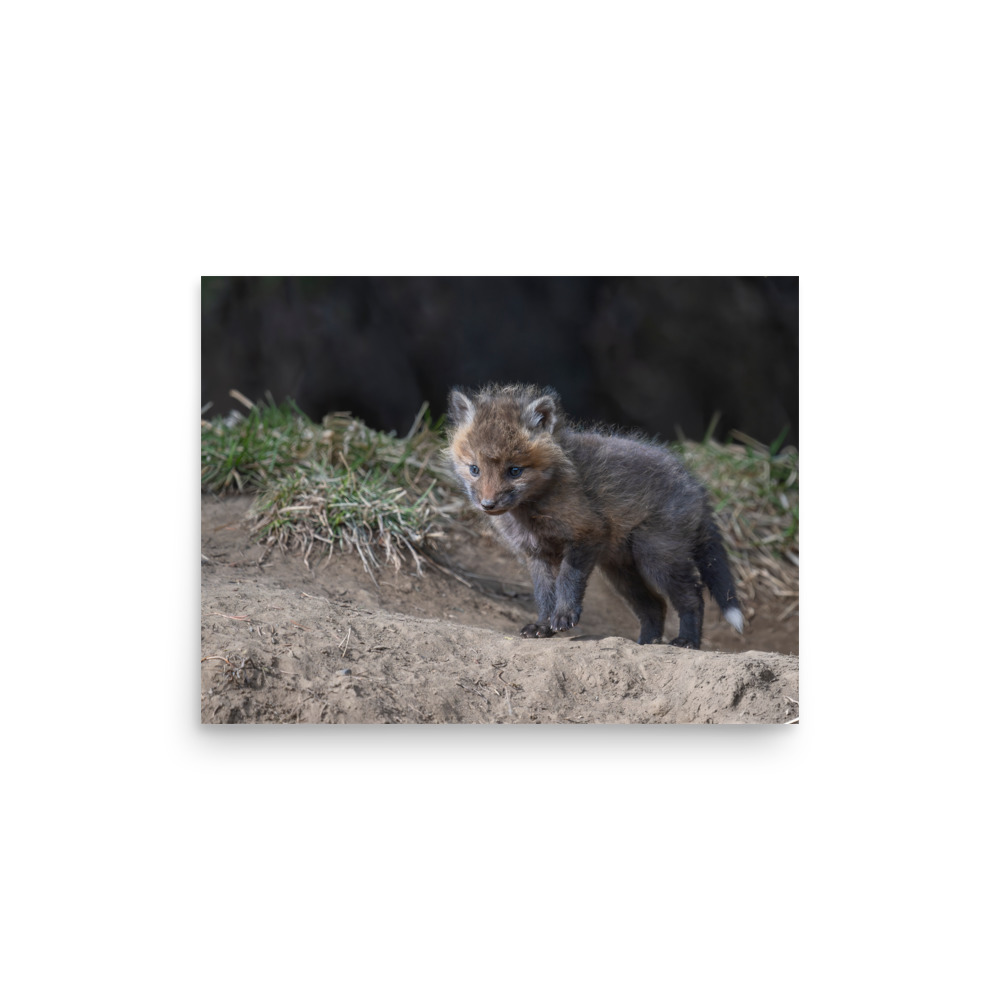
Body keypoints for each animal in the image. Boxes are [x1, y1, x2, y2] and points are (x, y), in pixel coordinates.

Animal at [446, 383, 744, 648]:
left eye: (515, 471)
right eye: (474, 469)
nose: (488, 504)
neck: (532, 513)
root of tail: (696, 485)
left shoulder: (587, 533)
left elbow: (568, 580)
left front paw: (564, 616)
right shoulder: (536, 553)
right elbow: (544, 594)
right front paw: (543, 626)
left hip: (656, 557)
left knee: (693, 597)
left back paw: (687, 641)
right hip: (621, 571)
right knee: (655, 606)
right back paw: (646, 643)